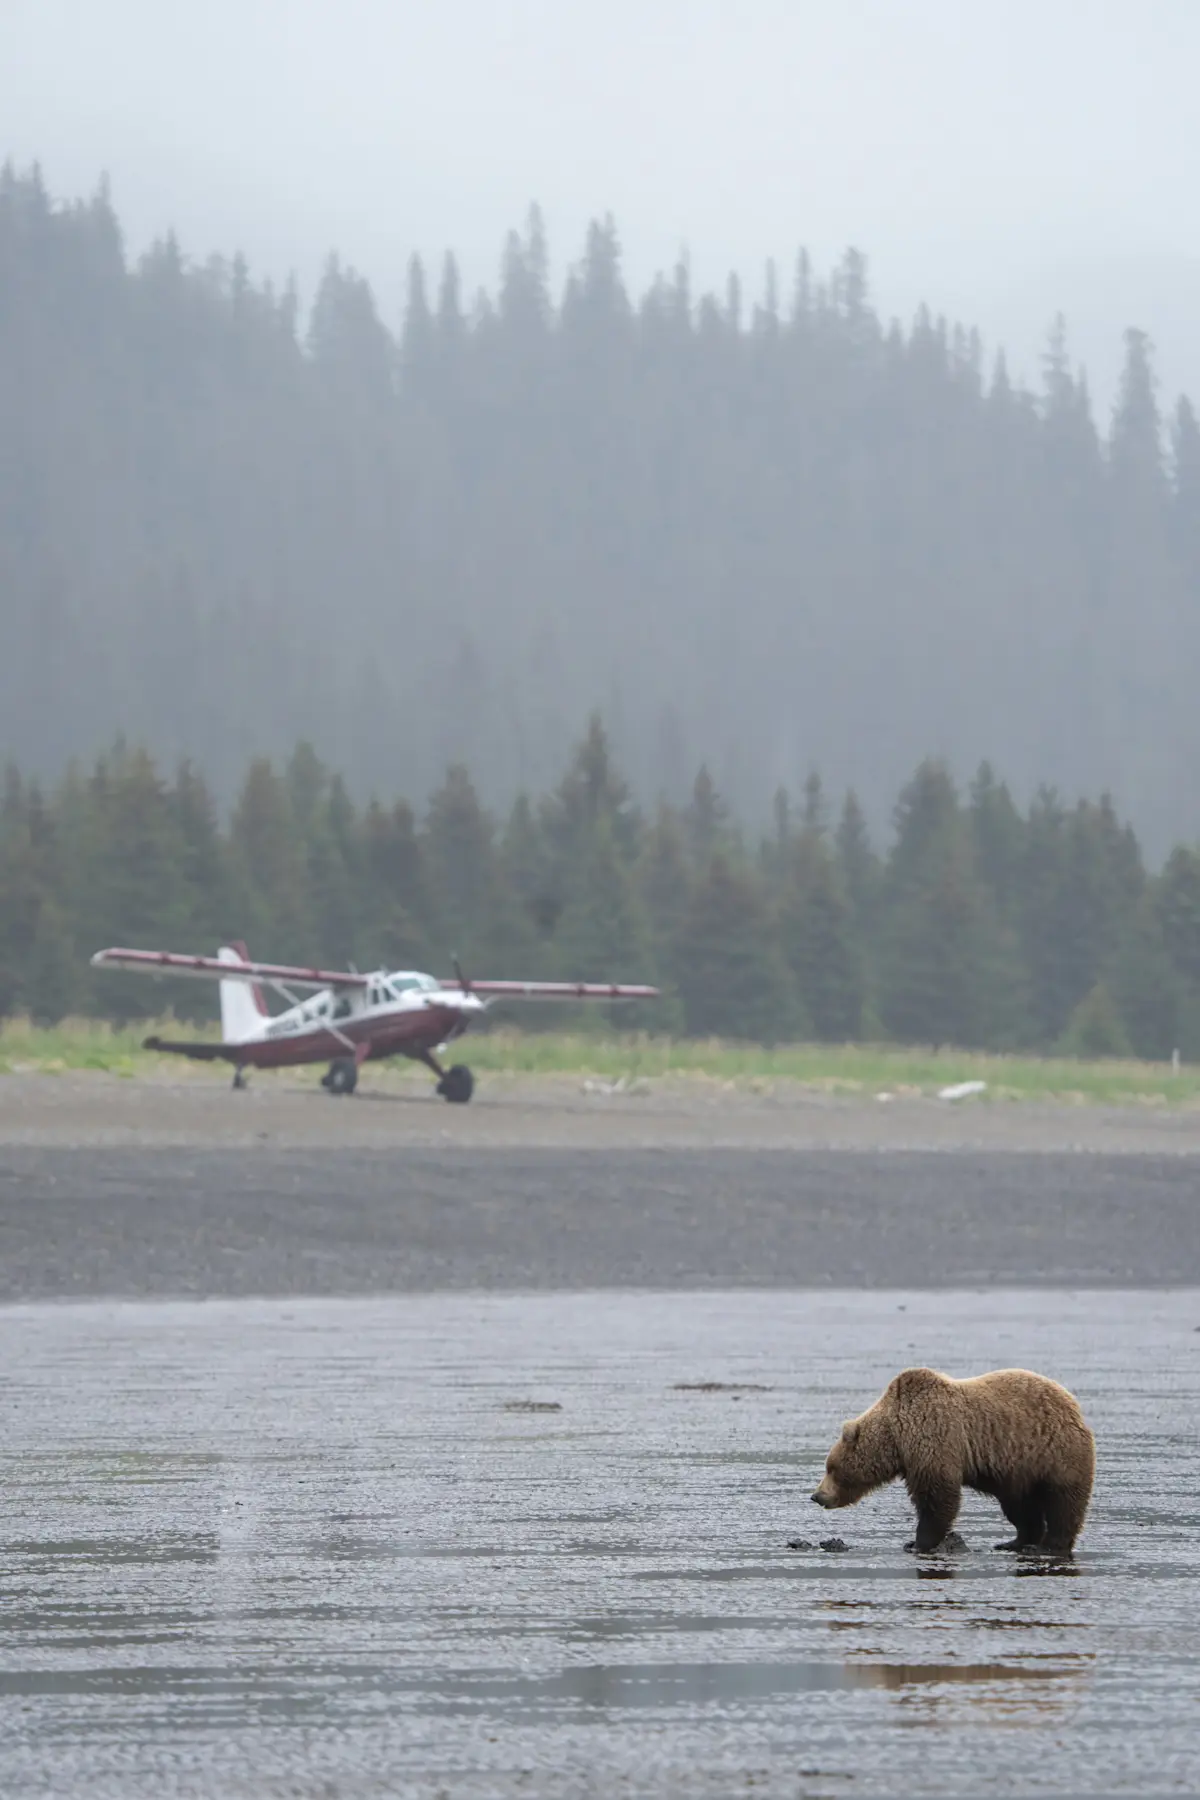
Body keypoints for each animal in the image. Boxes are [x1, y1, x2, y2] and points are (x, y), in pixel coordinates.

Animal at [810, 1366, 1095, 1554]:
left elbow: (938, 1496)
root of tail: (1072, 1403)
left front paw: (918, 1543)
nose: (816, 1495)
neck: (897, 1438)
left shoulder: (933, 1438)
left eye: (830, 1468)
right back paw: (1014, 1541)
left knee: (1063, 1502)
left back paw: (1050, 1545)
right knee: (1019, 1506)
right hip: (1018, 1469)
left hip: (1054, 1452)